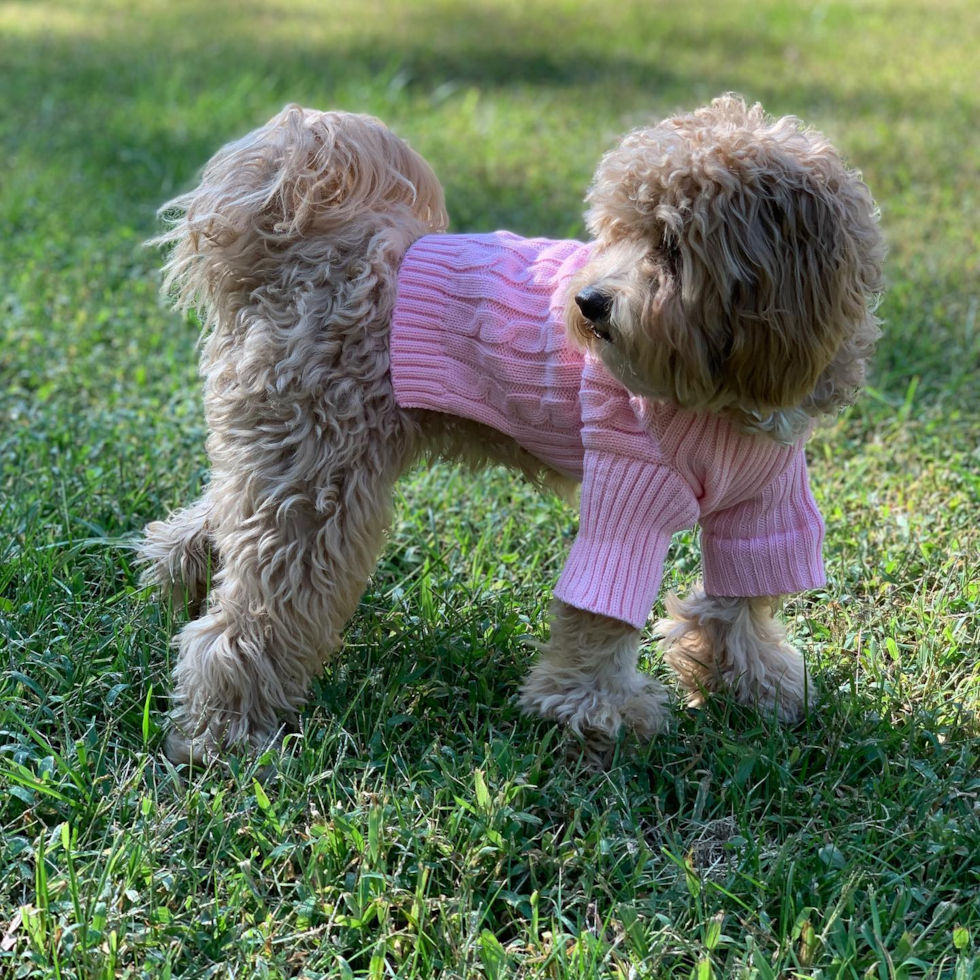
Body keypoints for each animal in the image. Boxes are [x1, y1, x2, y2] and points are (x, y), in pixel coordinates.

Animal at [142, 95, 884, 764]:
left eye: (671, 246)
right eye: (616, 231)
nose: (587, 304)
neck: (726, 389)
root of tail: (301, 250)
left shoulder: (764, 501)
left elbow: (744, 597)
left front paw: (755, 685)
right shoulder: (627, 492)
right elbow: (601, 612)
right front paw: (592, 710)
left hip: (295, 454)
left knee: (220, 521)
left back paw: (178, 576)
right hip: (317, 473)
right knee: (255, 611)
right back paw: (222, 730)